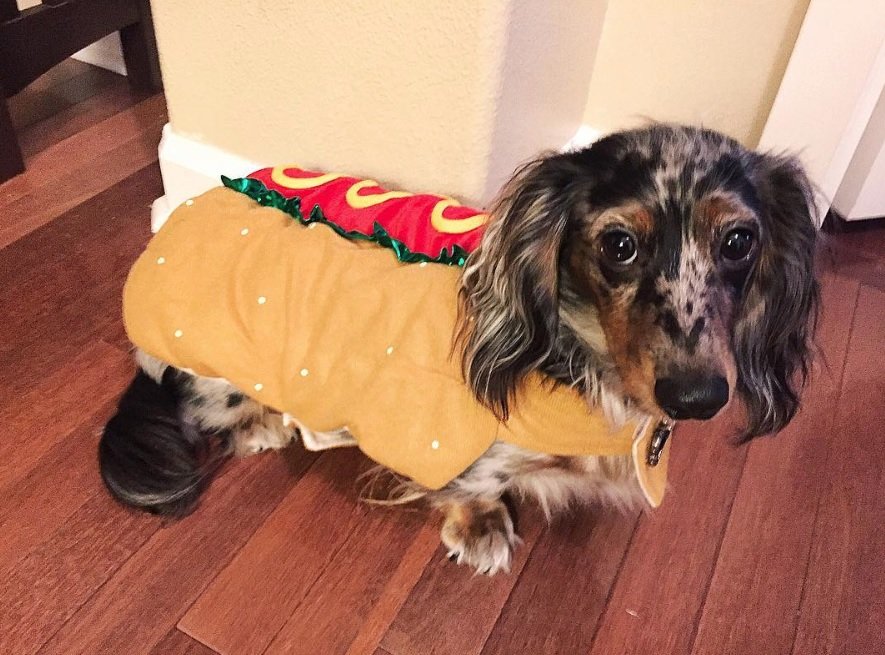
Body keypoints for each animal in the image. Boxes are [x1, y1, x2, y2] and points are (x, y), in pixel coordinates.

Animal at [100, 123, 820, 576]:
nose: (698, 397)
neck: (579, 361)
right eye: (618, 244)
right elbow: (476, 479)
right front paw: (480, 526)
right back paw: (258, 422)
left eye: (738, 241)